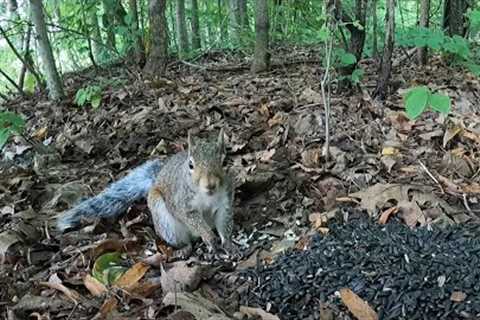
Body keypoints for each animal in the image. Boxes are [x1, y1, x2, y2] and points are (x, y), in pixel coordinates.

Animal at [57, 129, 235, 258]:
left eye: (223, 162)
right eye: (191, 165)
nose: (210, 185)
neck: (207, 196)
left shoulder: (224, 203)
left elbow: (224, 223)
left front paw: (228, 244)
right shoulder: (182, 203)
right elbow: (192, 219)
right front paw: (209, 237)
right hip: (164, 219)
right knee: (184, 241)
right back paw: (185, 249)